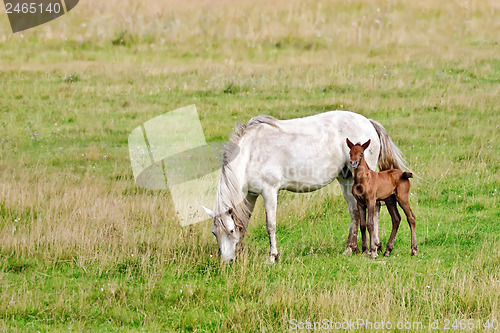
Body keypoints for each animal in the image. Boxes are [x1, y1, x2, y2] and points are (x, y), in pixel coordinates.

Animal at [201, 111, 408, 262]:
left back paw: (375, 247)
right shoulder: (251, 194)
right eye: (214, 233)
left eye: (230, 231)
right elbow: (243, 221)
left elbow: (270, 225)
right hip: (346, 179)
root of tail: (368, 122)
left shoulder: (269, 191)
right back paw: (351, 248)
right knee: (355, 211)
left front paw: (272, 256)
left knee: (375, 209)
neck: (251, 152)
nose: (227, 261)